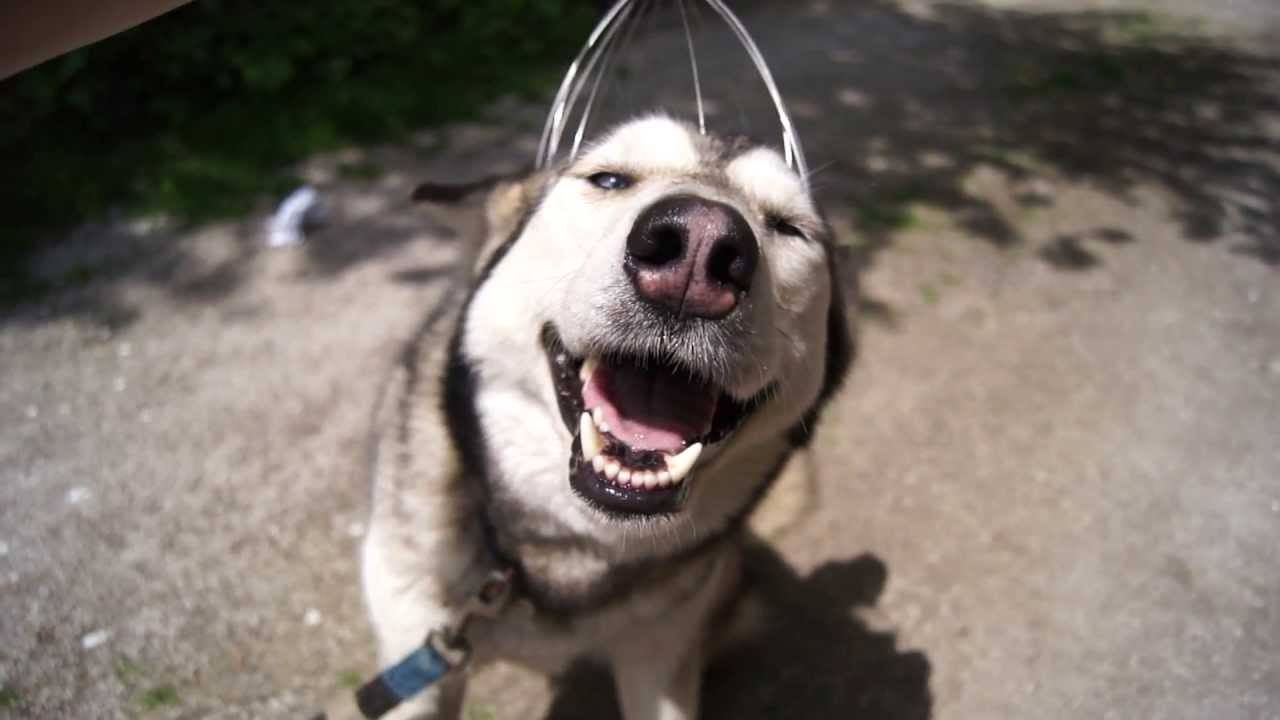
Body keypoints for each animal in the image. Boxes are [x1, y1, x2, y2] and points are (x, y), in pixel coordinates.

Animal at [363, 114, 849, 712]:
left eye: (788, 227)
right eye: (610, 179)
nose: (700, 244)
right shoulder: (416, 641)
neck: (569, 553)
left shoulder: (661, 657)